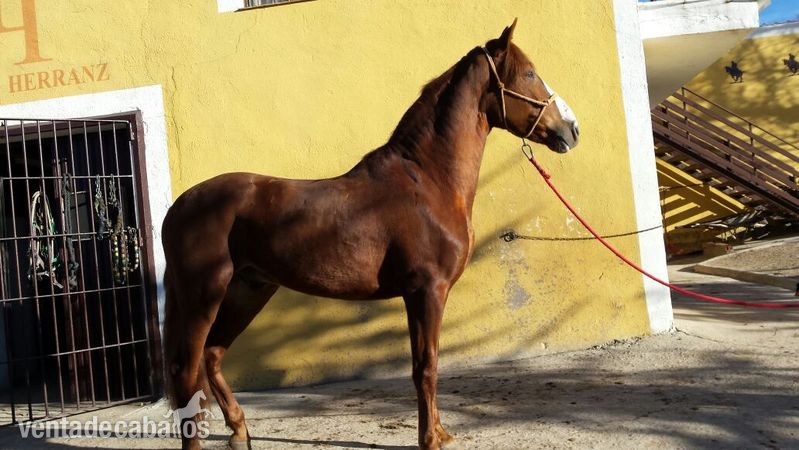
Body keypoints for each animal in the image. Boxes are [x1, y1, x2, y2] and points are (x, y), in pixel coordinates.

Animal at [162, 19, 579, 450]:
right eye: (529, 74)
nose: (571, 129)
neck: (428, 181)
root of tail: (180, 205)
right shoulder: (426, 291)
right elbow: (425, 366)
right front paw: (430, 438)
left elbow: (426, 365)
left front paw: (439, 432)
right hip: (204, 295)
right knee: (186, 369)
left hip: (249, 290)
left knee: (212, 355)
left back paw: (240, 432)